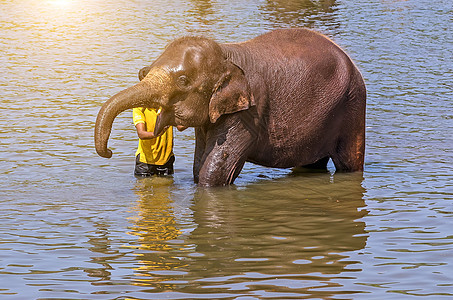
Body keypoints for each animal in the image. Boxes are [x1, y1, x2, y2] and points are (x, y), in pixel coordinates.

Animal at [93, 29, 366, 186]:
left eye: (183, 81)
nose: (109, 152)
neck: (227, 54)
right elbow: (199, 165)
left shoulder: (248, 113)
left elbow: (213, 172)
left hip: (352, 107)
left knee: (348, 163)